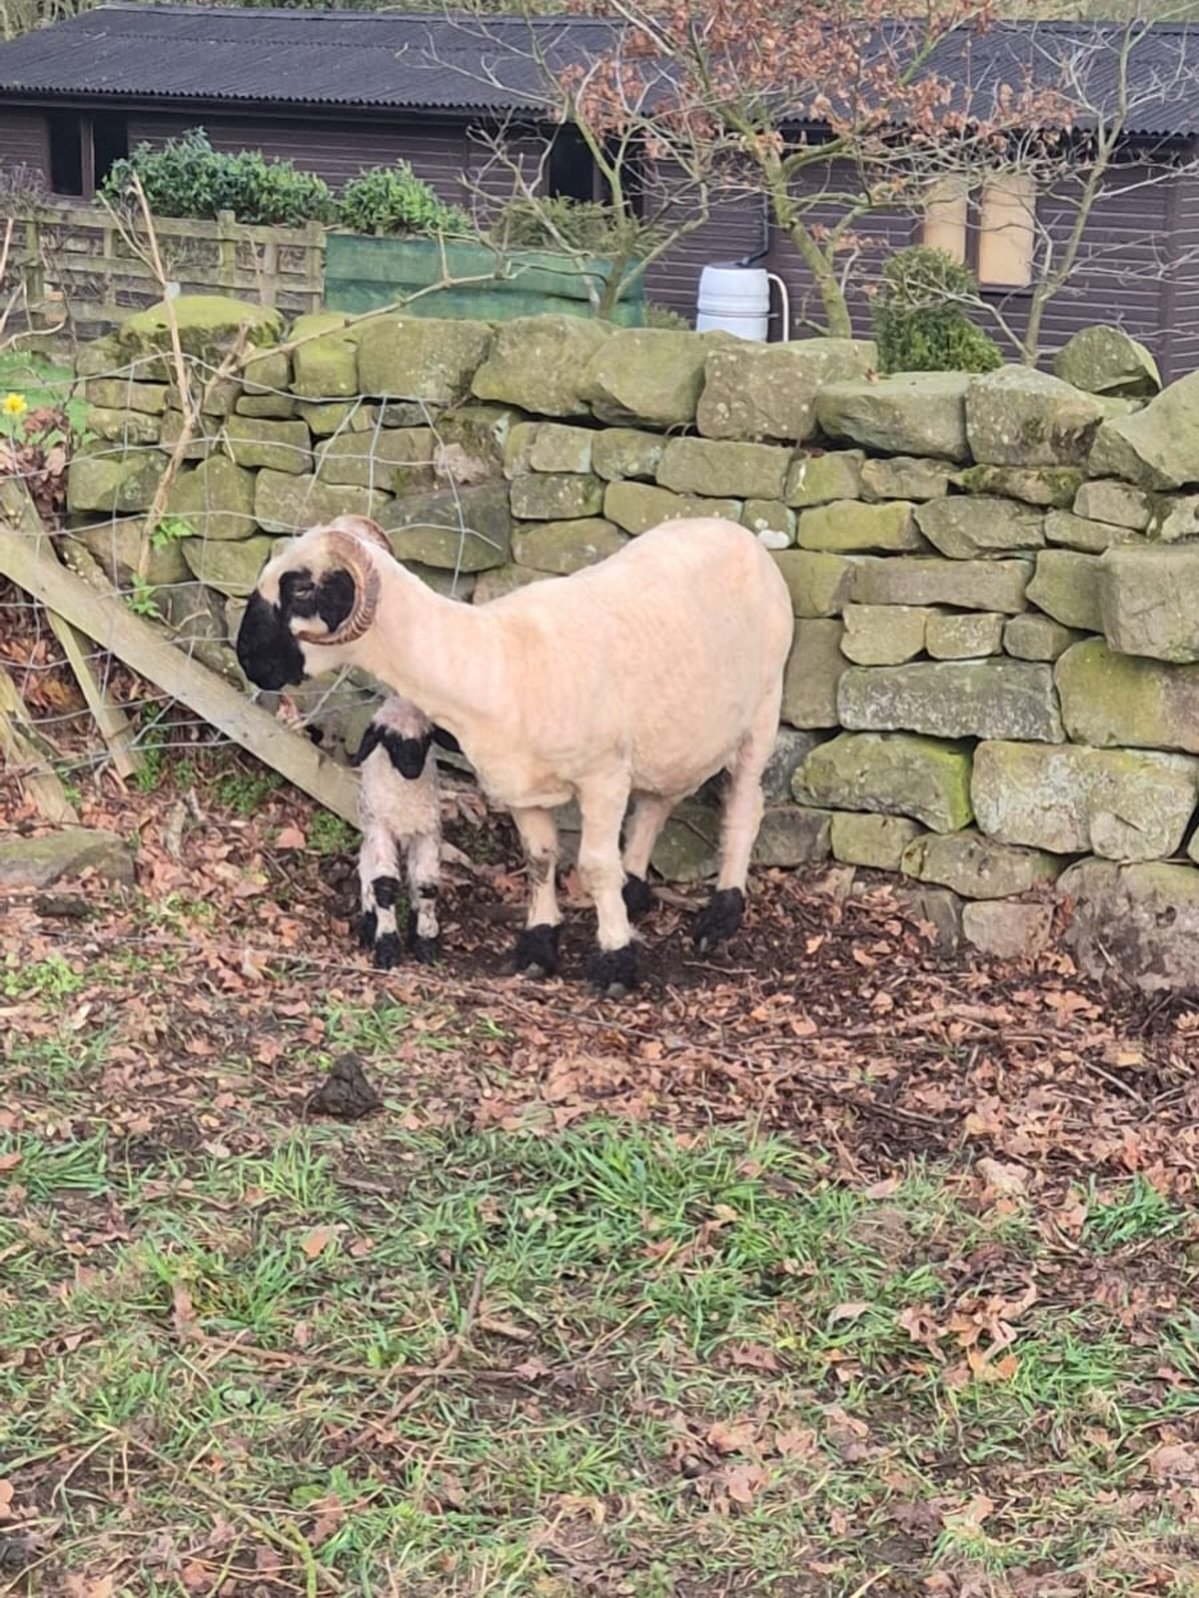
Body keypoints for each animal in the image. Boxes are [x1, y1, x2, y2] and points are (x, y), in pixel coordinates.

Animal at [350, 693, 455, 968]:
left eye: (427, 739)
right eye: (391, 741)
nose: (412, 767)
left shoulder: (428, 832)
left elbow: (426, 885)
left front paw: (425, 942)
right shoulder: (381, 829)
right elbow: (386, 887)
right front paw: (387, 947)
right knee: (367, 873)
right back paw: (369, 924)